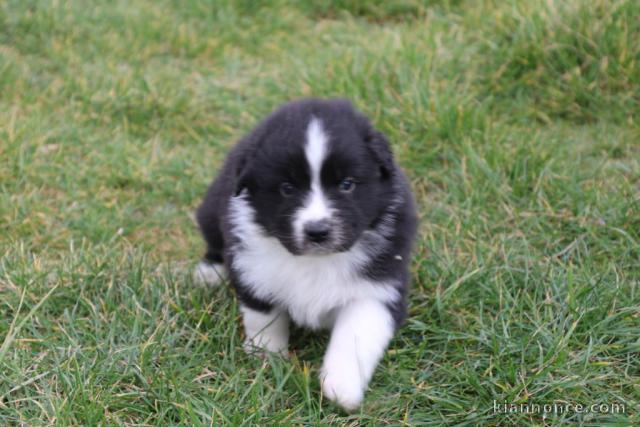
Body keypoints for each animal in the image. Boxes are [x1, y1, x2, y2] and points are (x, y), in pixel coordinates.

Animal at [192, 98, 418, 412]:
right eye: (287, 189)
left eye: (347, 184)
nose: (317, 231)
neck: (316, 261)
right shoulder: (253, 267)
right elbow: (264, 316)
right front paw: (267, 356)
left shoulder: (378, 288)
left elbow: (355, 335)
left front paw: (341, 388)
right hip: (213, 208)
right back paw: (209, 273)